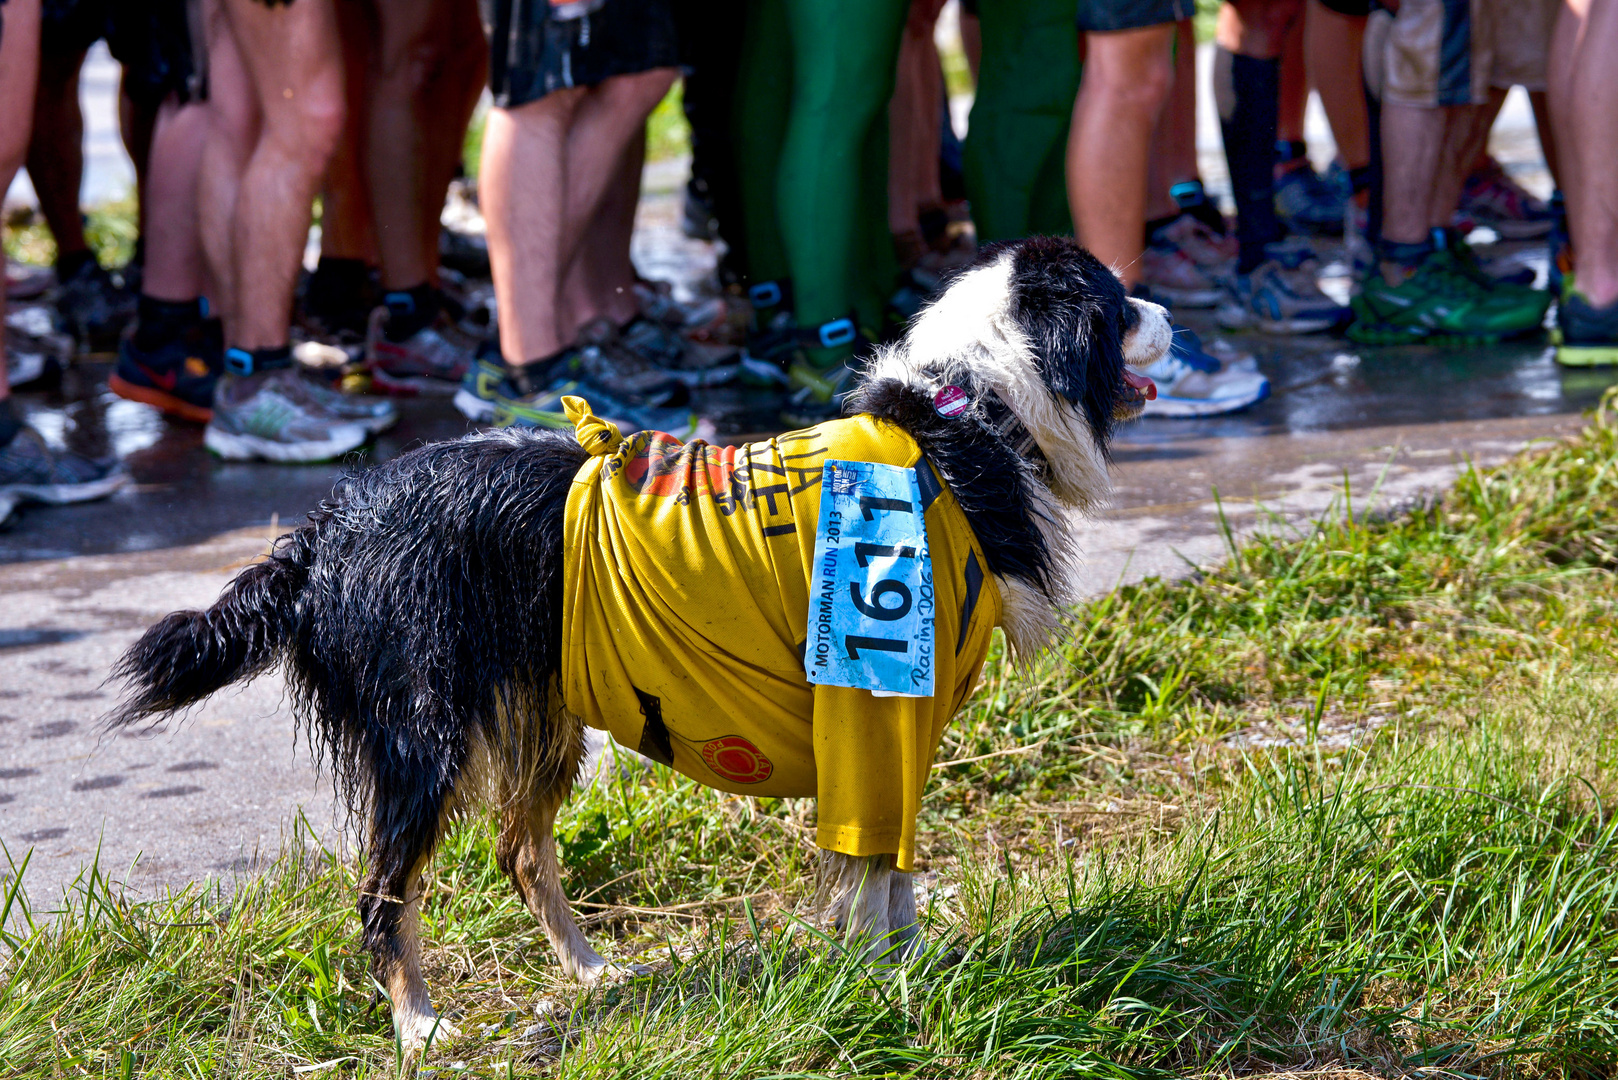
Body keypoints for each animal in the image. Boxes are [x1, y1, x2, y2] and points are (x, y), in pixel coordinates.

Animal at [107, 238, 1171, 1049]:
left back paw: (589, 969)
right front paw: (883, 987)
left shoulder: (892, 726)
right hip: (424, 735)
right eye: (1119, 304)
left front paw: (911, 967)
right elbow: (873, 878)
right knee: (384, 891)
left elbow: (893, 875)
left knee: (520, 850)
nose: (1175, 317)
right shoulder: (871, 709)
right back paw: (419, 1025)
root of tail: (325, 531)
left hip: (541, 712)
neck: (966, 415)